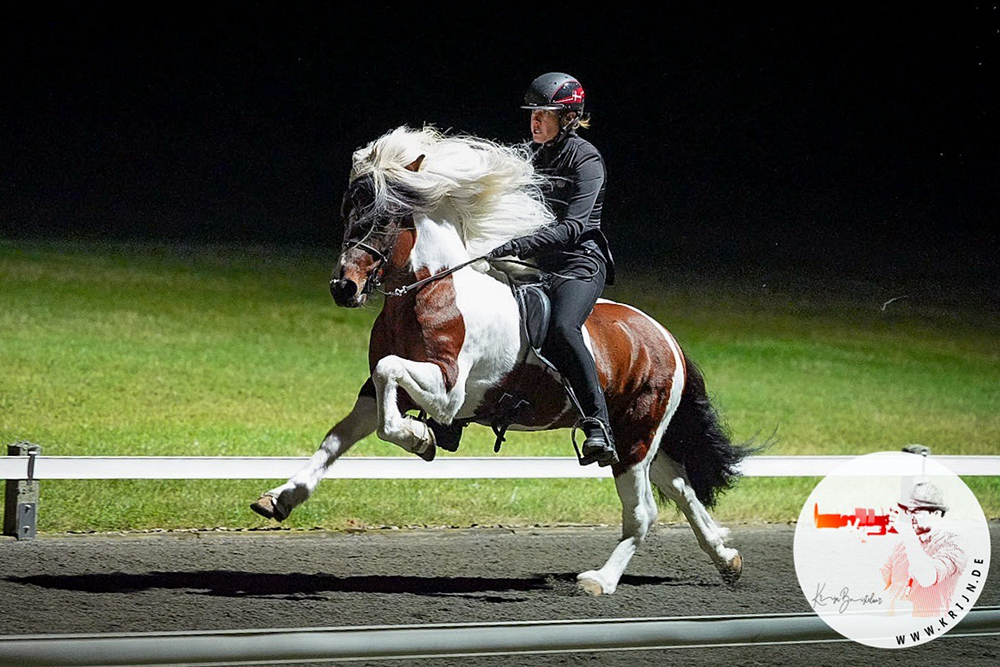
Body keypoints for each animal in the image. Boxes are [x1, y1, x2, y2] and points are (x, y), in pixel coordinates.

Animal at [254, 125, 752, 596]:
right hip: (644, 439)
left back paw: (601, 580)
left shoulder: (449, 391)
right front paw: (280, 498)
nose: (344, 288)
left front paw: (421, 439)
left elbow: (388, 383)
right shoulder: (377, 393)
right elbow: (337, 438)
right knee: (682, 488)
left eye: (387, 218)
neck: (429, 292)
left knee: (644, 511)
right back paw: (727, 560)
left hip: (633, 442)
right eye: (347, 210)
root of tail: (666, 338)